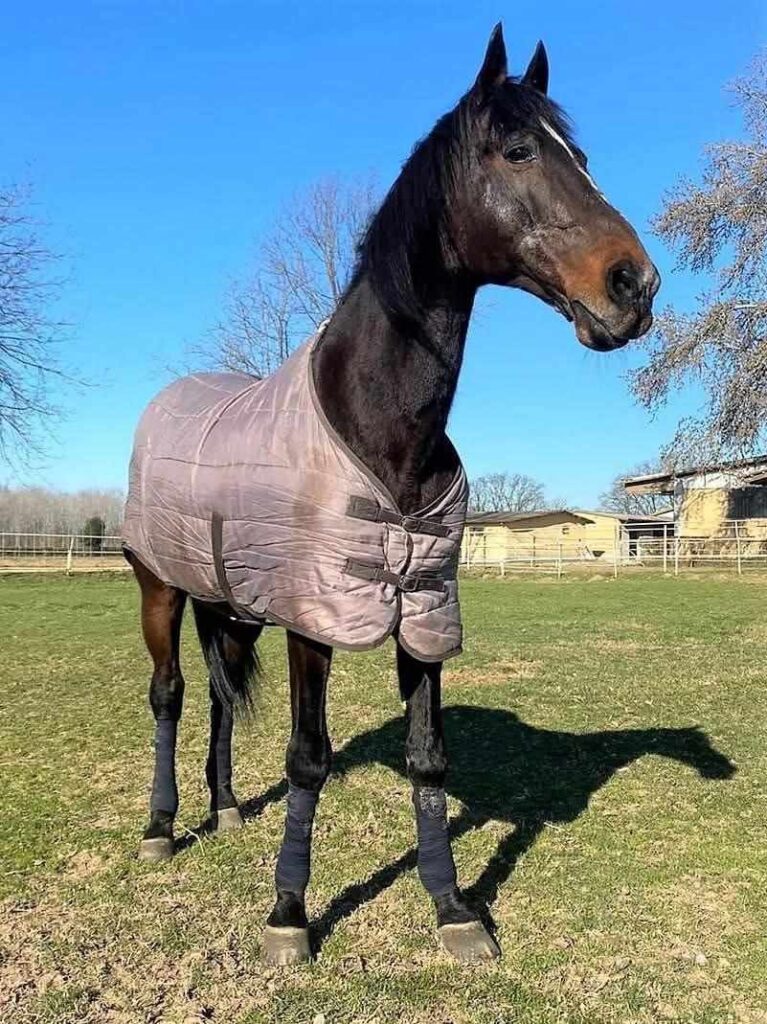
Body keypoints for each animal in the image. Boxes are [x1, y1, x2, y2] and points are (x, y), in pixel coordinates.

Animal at [123, 23, 660, 965]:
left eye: (582, 156)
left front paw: (452, 911)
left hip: (228, 600)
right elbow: (308, 756)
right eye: (517, 150)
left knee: (220, 696)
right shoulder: (313, 619)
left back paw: (224, 809)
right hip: (160, 587)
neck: (374, 427)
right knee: (171, 694)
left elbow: (427, 757)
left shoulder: (423, 608)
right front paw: (288, 916)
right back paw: (161, 827)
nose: (633, 285)